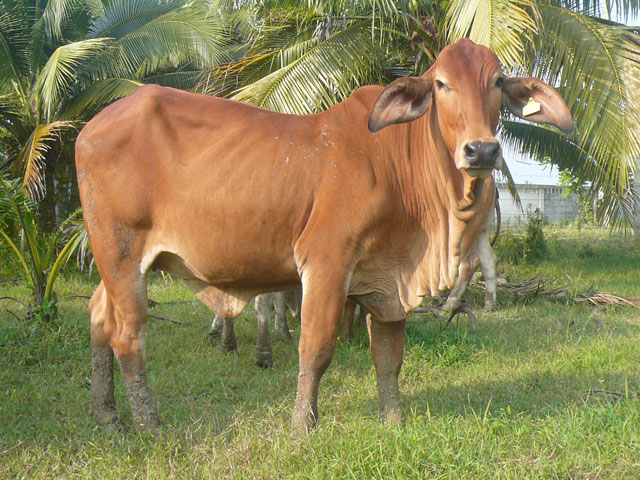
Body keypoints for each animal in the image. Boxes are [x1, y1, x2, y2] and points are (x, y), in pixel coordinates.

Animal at [76, 39, 572, 433]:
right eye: (441, 84)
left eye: (497, 81)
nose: (482, 150)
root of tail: (92, 125)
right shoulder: (327, 263)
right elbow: (315, 349)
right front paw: (302, 425)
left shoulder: (389, 280)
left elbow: (389, 358)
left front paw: (394, 422)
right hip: (122, 254)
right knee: (128, 335)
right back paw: (148, 423)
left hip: (114, 259)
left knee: (99, 316)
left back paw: (106, 415)